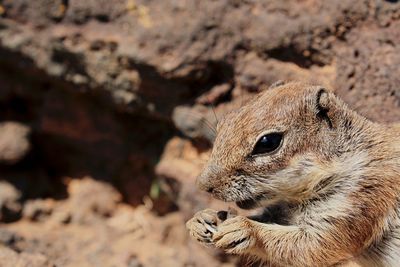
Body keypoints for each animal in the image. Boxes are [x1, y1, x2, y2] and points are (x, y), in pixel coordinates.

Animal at [186, 81, 400, 267]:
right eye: (225, 121)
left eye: (268, 142)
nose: (202, 185)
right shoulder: (283, 211)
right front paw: (201, 220)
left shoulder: (360, 201)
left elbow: (312, 246)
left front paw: (246, 229)